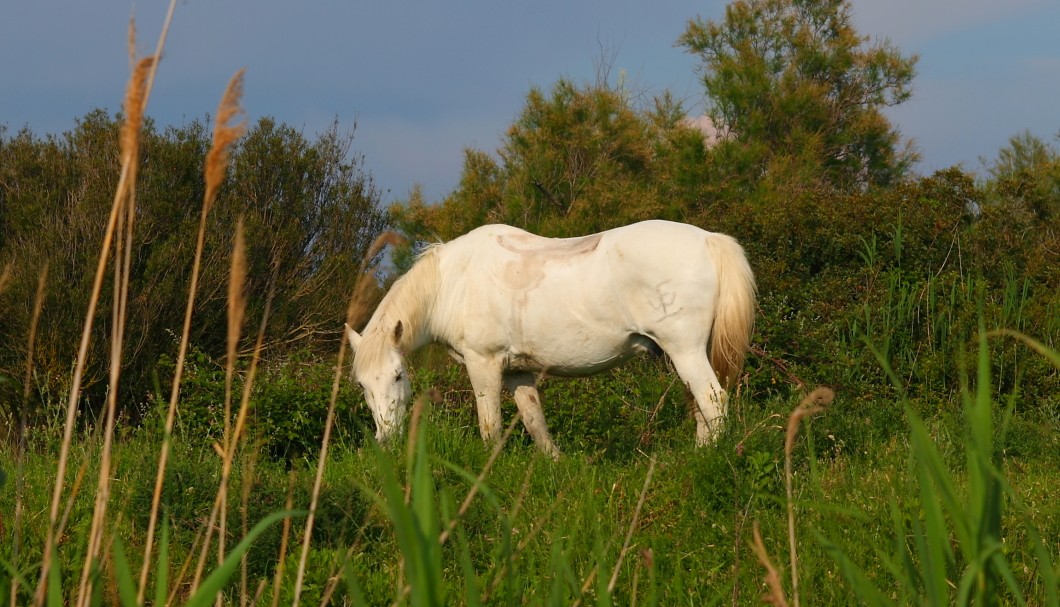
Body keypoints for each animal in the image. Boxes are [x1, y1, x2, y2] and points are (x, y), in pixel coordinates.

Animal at [345, 220, 754, 457]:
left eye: (398, 376)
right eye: (363, 385)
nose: (386, 440)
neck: (452, 282)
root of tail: (708, 240)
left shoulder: (483, 364)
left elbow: (490, 425)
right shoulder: (518, 372)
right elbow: (534, 420)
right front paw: (554, 463)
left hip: (685, 350)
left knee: (713, 400)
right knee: (700, 405)